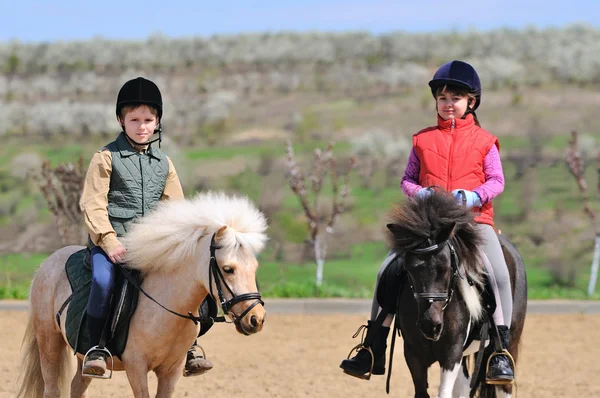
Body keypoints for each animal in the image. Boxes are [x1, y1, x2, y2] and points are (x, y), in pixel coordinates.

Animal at [17, 191, 270, 396]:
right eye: (228, 269)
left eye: (255, 268)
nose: (256, 319)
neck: (166, 307)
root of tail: (47, 264)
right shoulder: (136, 367)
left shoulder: (172, 371)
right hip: (49, 342)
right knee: (52, 389)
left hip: (81, 357)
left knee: (77, 387)